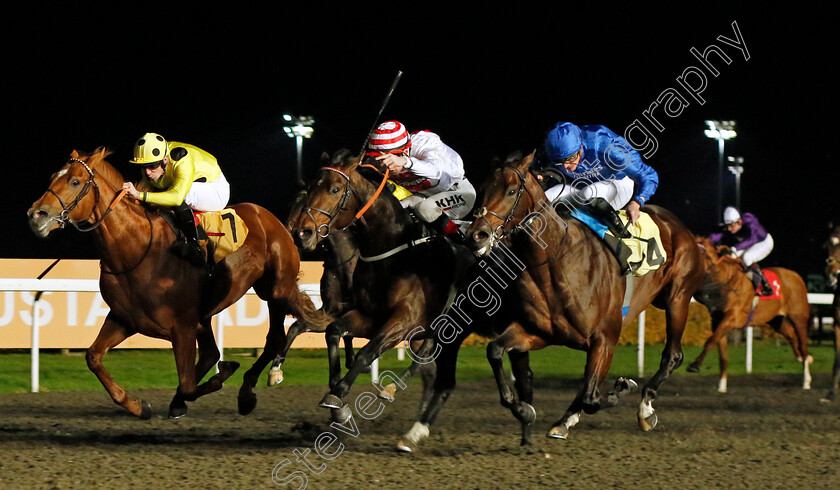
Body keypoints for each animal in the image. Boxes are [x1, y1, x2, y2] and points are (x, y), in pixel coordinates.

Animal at [27, 147, 328, 420]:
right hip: (209, 314)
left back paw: (246, 393)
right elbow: (93, 357)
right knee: (211, 353)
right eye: (54, 177)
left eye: (75, 182)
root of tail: (274, 220)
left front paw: (220, 376)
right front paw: (137, 406)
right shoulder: (125, 318)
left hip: (274, 290)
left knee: (273, 338)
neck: (137, 249)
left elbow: (188, 384)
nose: (35, 215)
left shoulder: (182, 326)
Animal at [404, 152, 704, 444]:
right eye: (482, 188)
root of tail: (676, 223)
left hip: (677, 298)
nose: (476, 235)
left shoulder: (605, 338)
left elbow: (592, 397)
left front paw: (624, 387)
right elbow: (496, 352)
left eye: (511, 191)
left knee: (672, 355)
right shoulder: (538, 332)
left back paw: (645, 408)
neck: (556, 263)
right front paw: (525, 410)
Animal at [688, 235, 812, 392]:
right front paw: (721, 386)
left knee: (803, 345)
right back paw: (803, 359)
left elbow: (710, 341)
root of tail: (797, 276)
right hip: (776, 320)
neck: (725, 280)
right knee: (791, 335)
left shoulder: (733, 318)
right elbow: (721, 354)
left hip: (799, 318)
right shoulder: (717, 322)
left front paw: (694, 365)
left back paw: (806, 380)